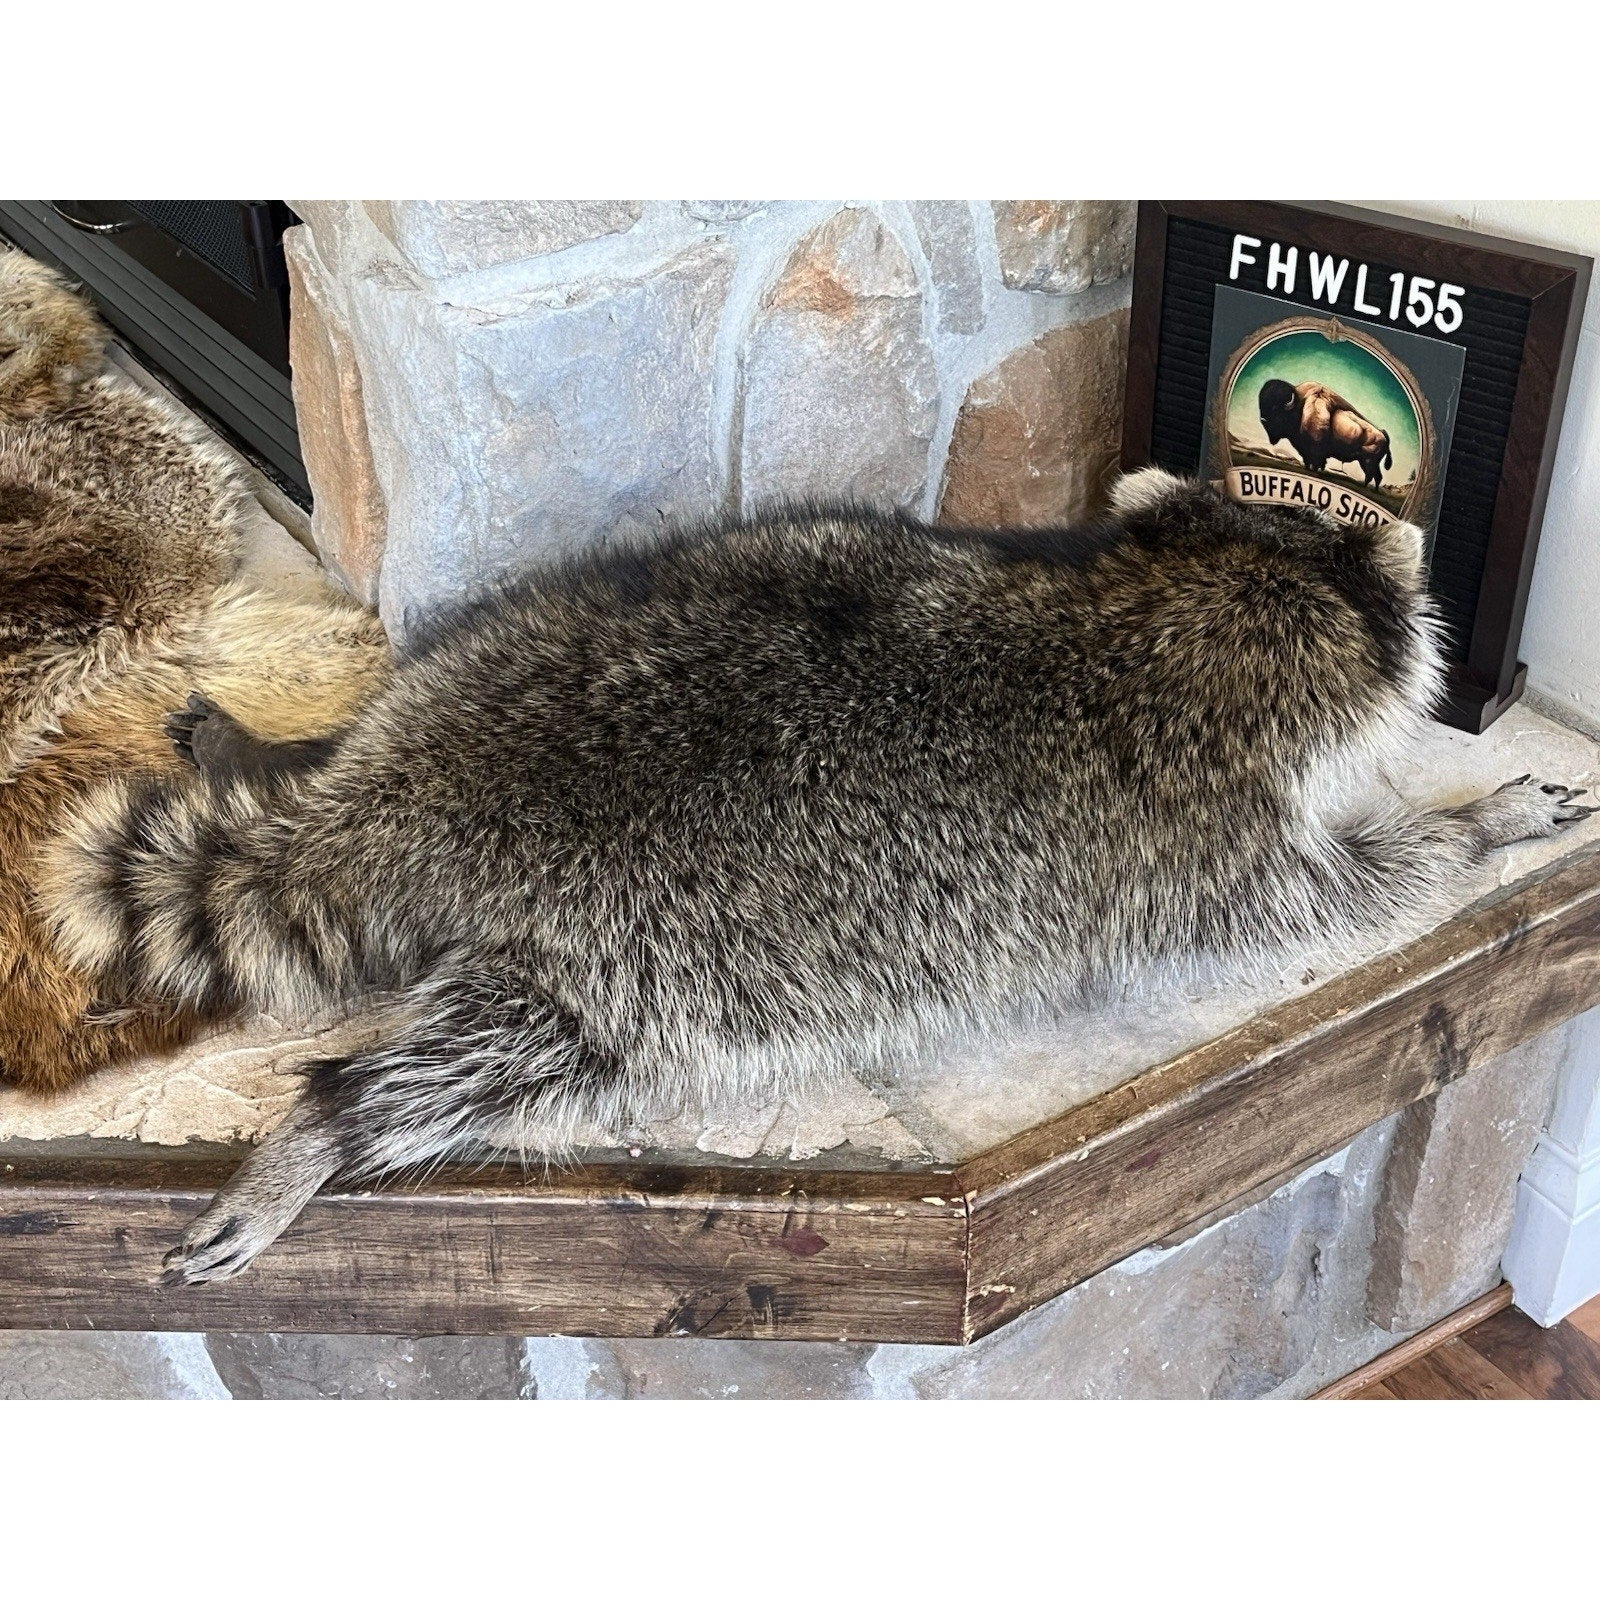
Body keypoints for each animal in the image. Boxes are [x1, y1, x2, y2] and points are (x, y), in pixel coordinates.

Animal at [39, 473, 1592, 1283]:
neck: (1158, 622)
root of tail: (417, 802)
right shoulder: (1213, 849)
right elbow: (1354, 884)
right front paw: (1476, 824)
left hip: (517, 637)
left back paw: (278, 747)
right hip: (620, 972)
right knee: (467, 1069)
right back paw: (325, 1122)